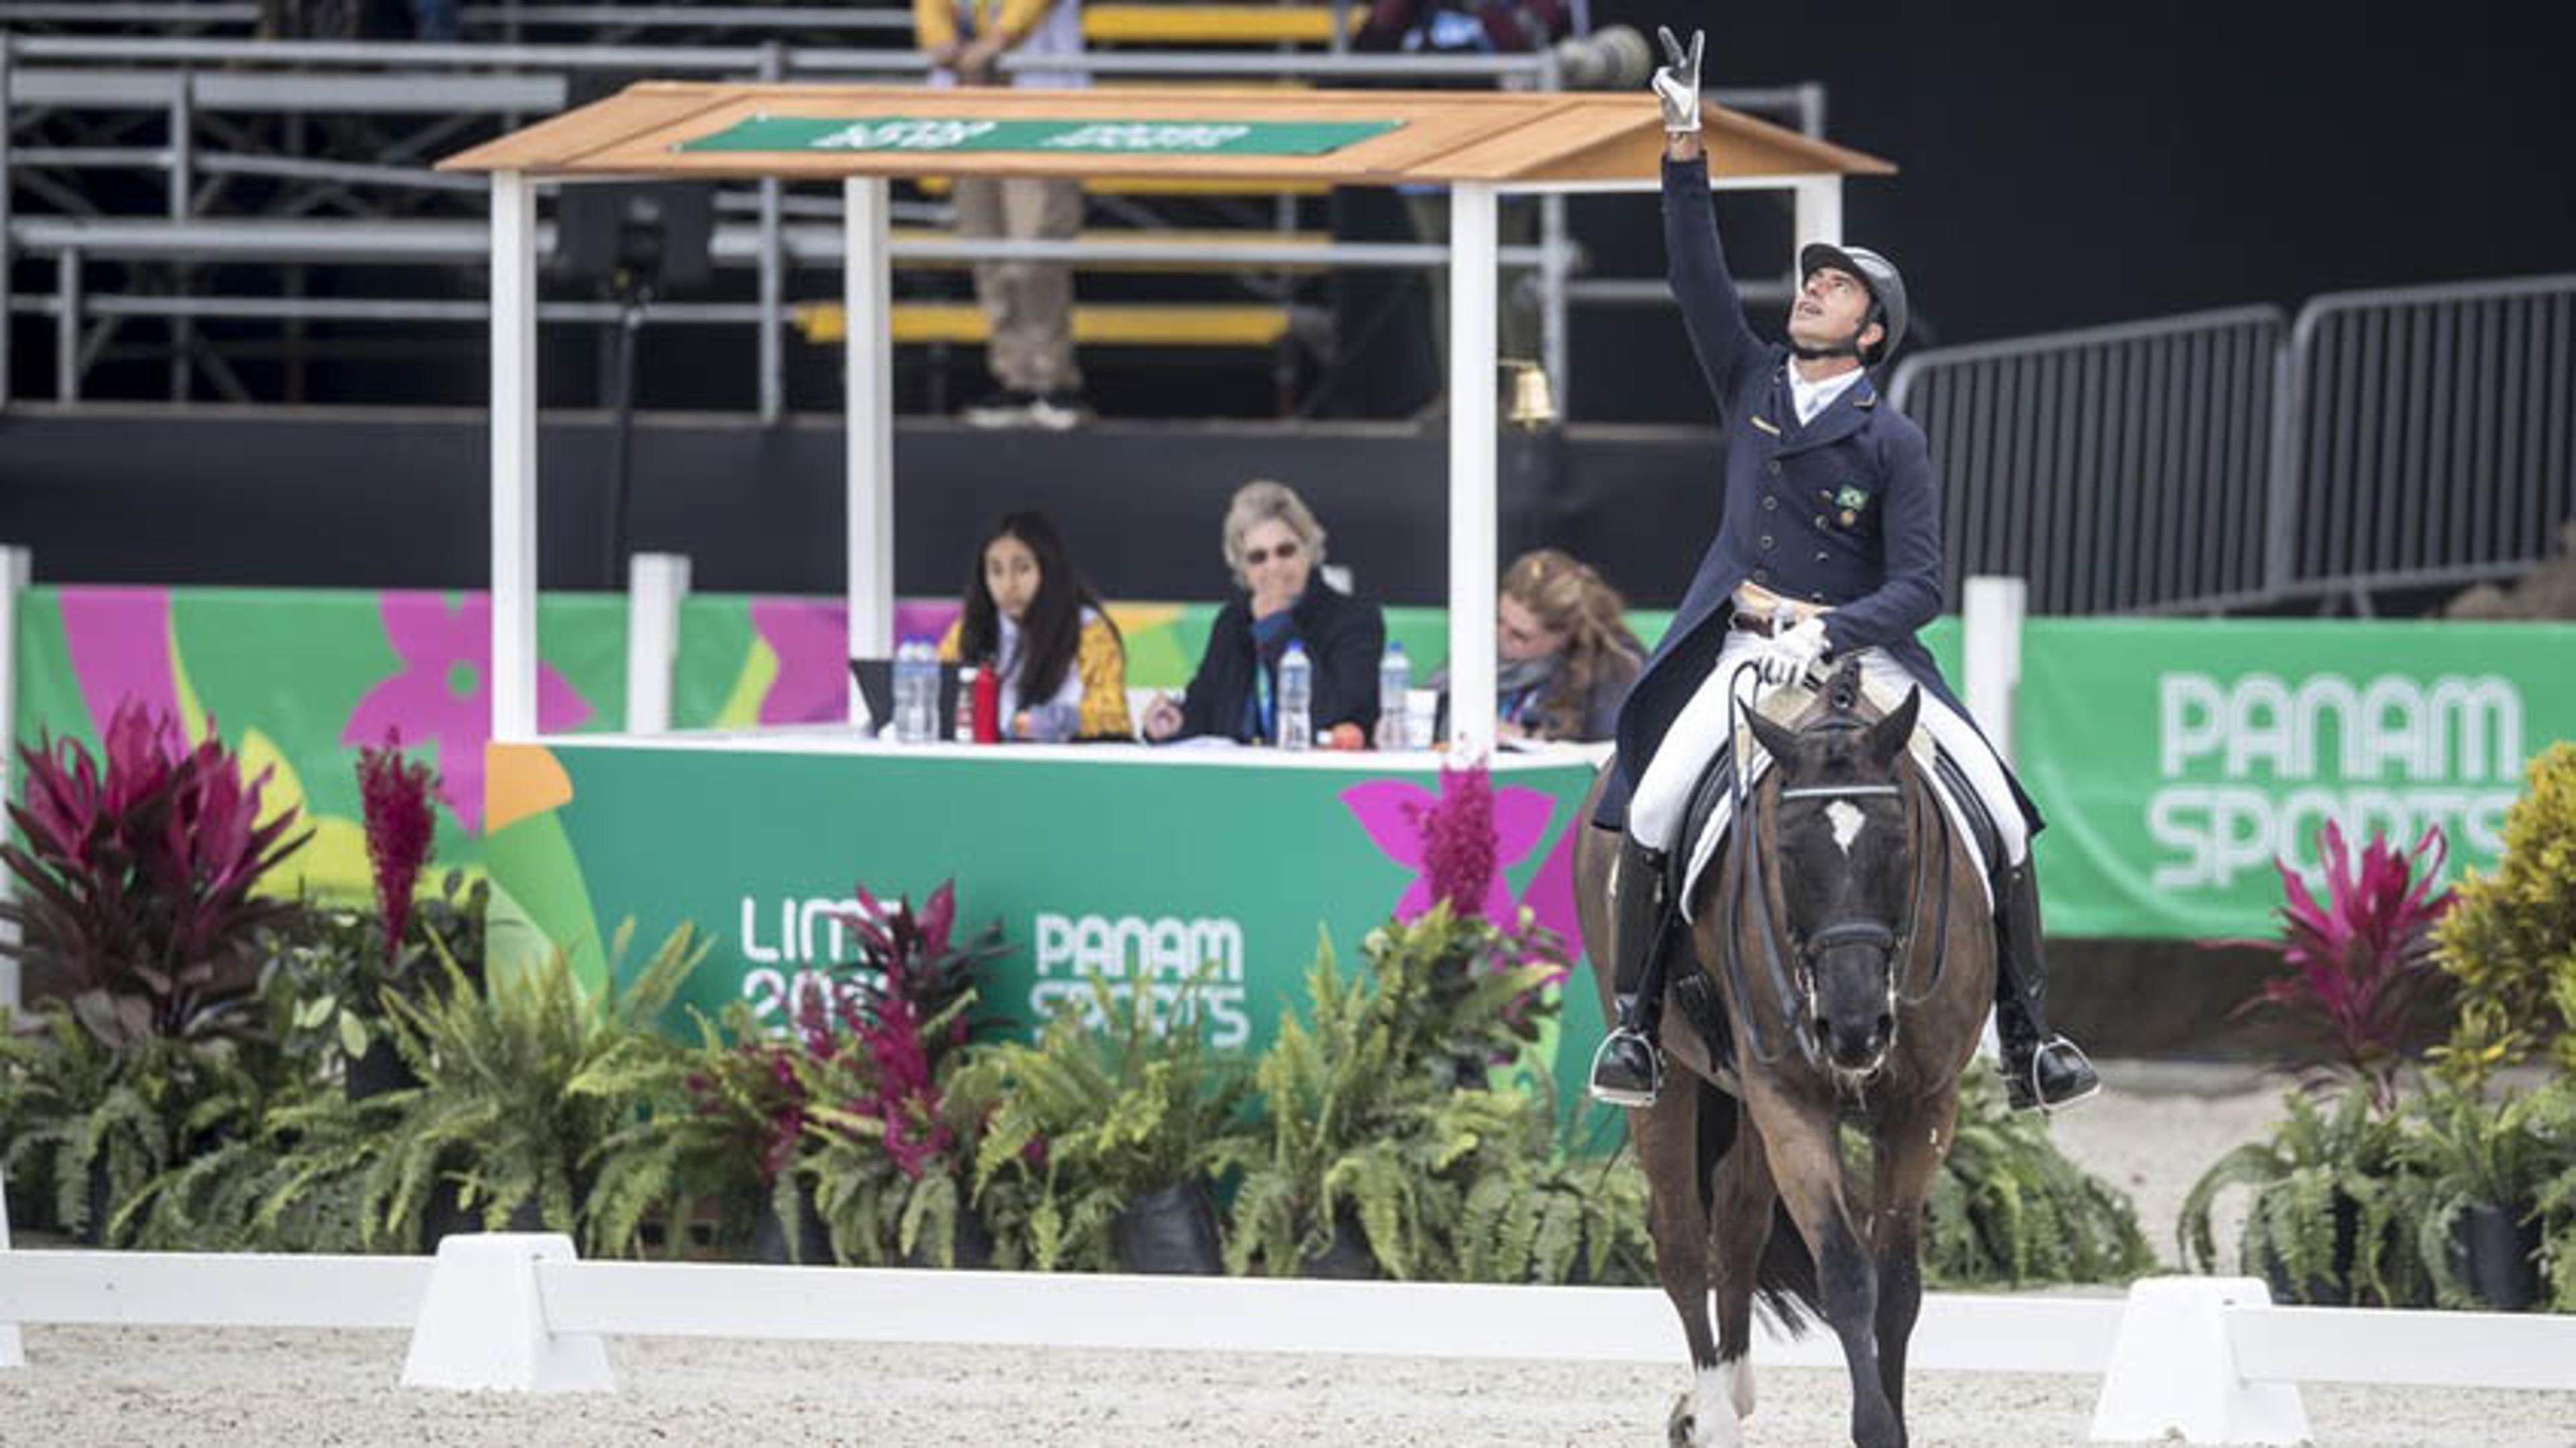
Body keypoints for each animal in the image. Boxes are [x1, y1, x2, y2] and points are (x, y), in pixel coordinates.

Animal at [1576, 660, 1998, 1443]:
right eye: (1788, 851)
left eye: (1899, 843)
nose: (1854, 1028)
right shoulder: (1791, 1098)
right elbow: (1846, 1275)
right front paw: (1874, 1425)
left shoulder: (1924, 1107)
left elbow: (1898, 1284)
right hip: (1671, 1077)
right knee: (1683, 1239)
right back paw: (1713, 1413)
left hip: (1744, 1098)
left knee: (1739, 1222)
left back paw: (1729, 1390)